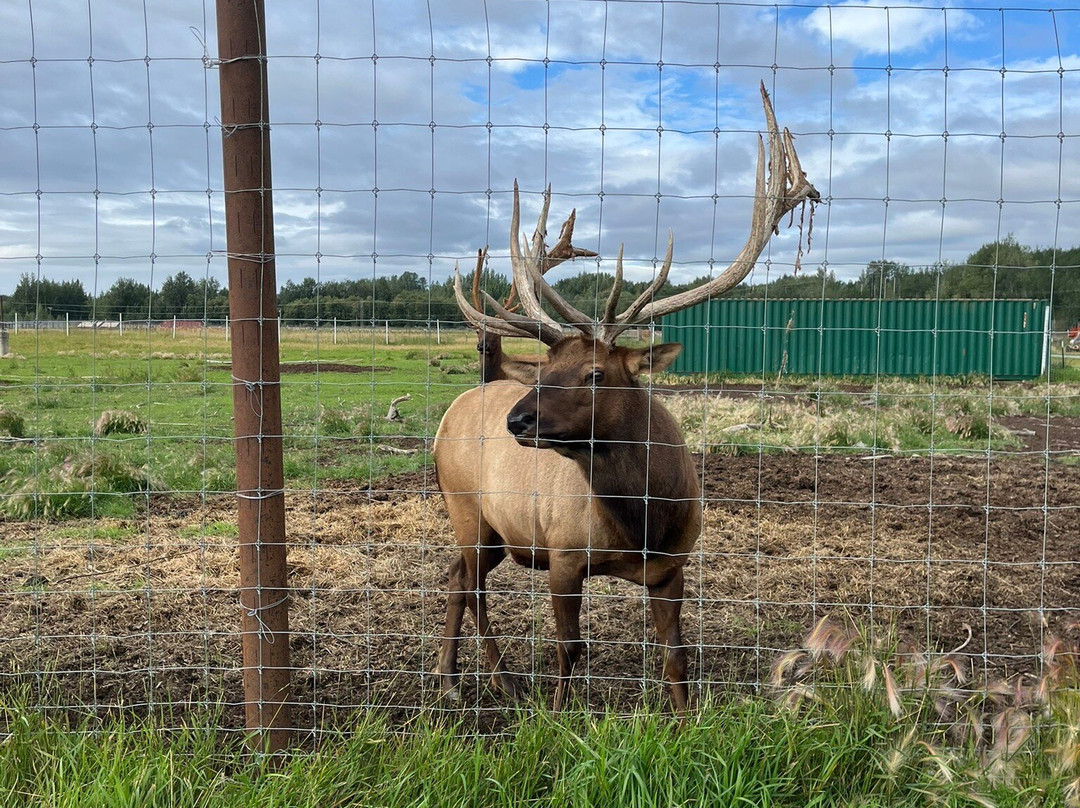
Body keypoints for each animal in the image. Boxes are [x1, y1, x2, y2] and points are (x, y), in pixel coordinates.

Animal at [434, 83, 818, 712]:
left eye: (593, 373)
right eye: (544, 368)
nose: (518, 420)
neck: (640, 523)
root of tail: (453, 410)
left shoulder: (673, 565)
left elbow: (675, 655)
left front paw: (685, 720)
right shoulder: (563, 554)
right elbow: (569, 649)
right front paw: (555, 716)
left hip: (494, 529)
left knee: (459, 577)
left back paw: (475, 675)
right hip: (465, 505)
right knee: (468, 583)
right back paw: (475, 678)